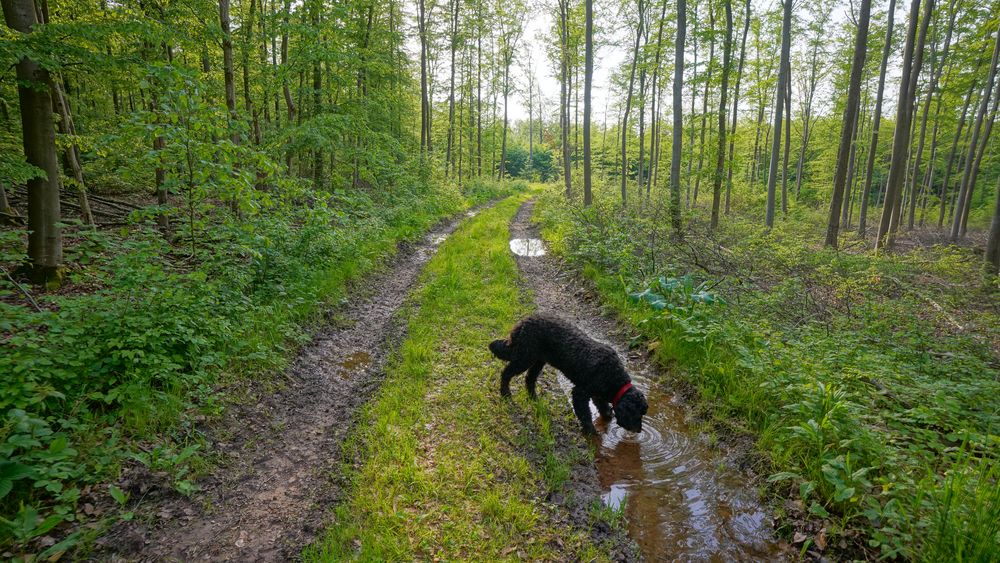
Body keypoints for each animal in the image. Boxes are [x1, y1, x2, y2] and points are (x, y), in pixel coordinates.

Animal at [490, 316, 648, 434]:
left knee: (529, 378)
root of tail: (523, 322)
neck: (614, 376)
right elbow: (585, 414)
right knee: (506, 373)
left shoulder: (597, 393)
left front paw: (607, 415)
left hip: (537, 360)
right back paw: (505, 393)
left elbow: (602, 405)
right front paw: (591, 431)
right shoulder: (580, 393)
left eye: (642, 413)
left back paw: (533, 397)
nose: (639, 430)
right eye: (637, 413)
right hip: (525, 357)